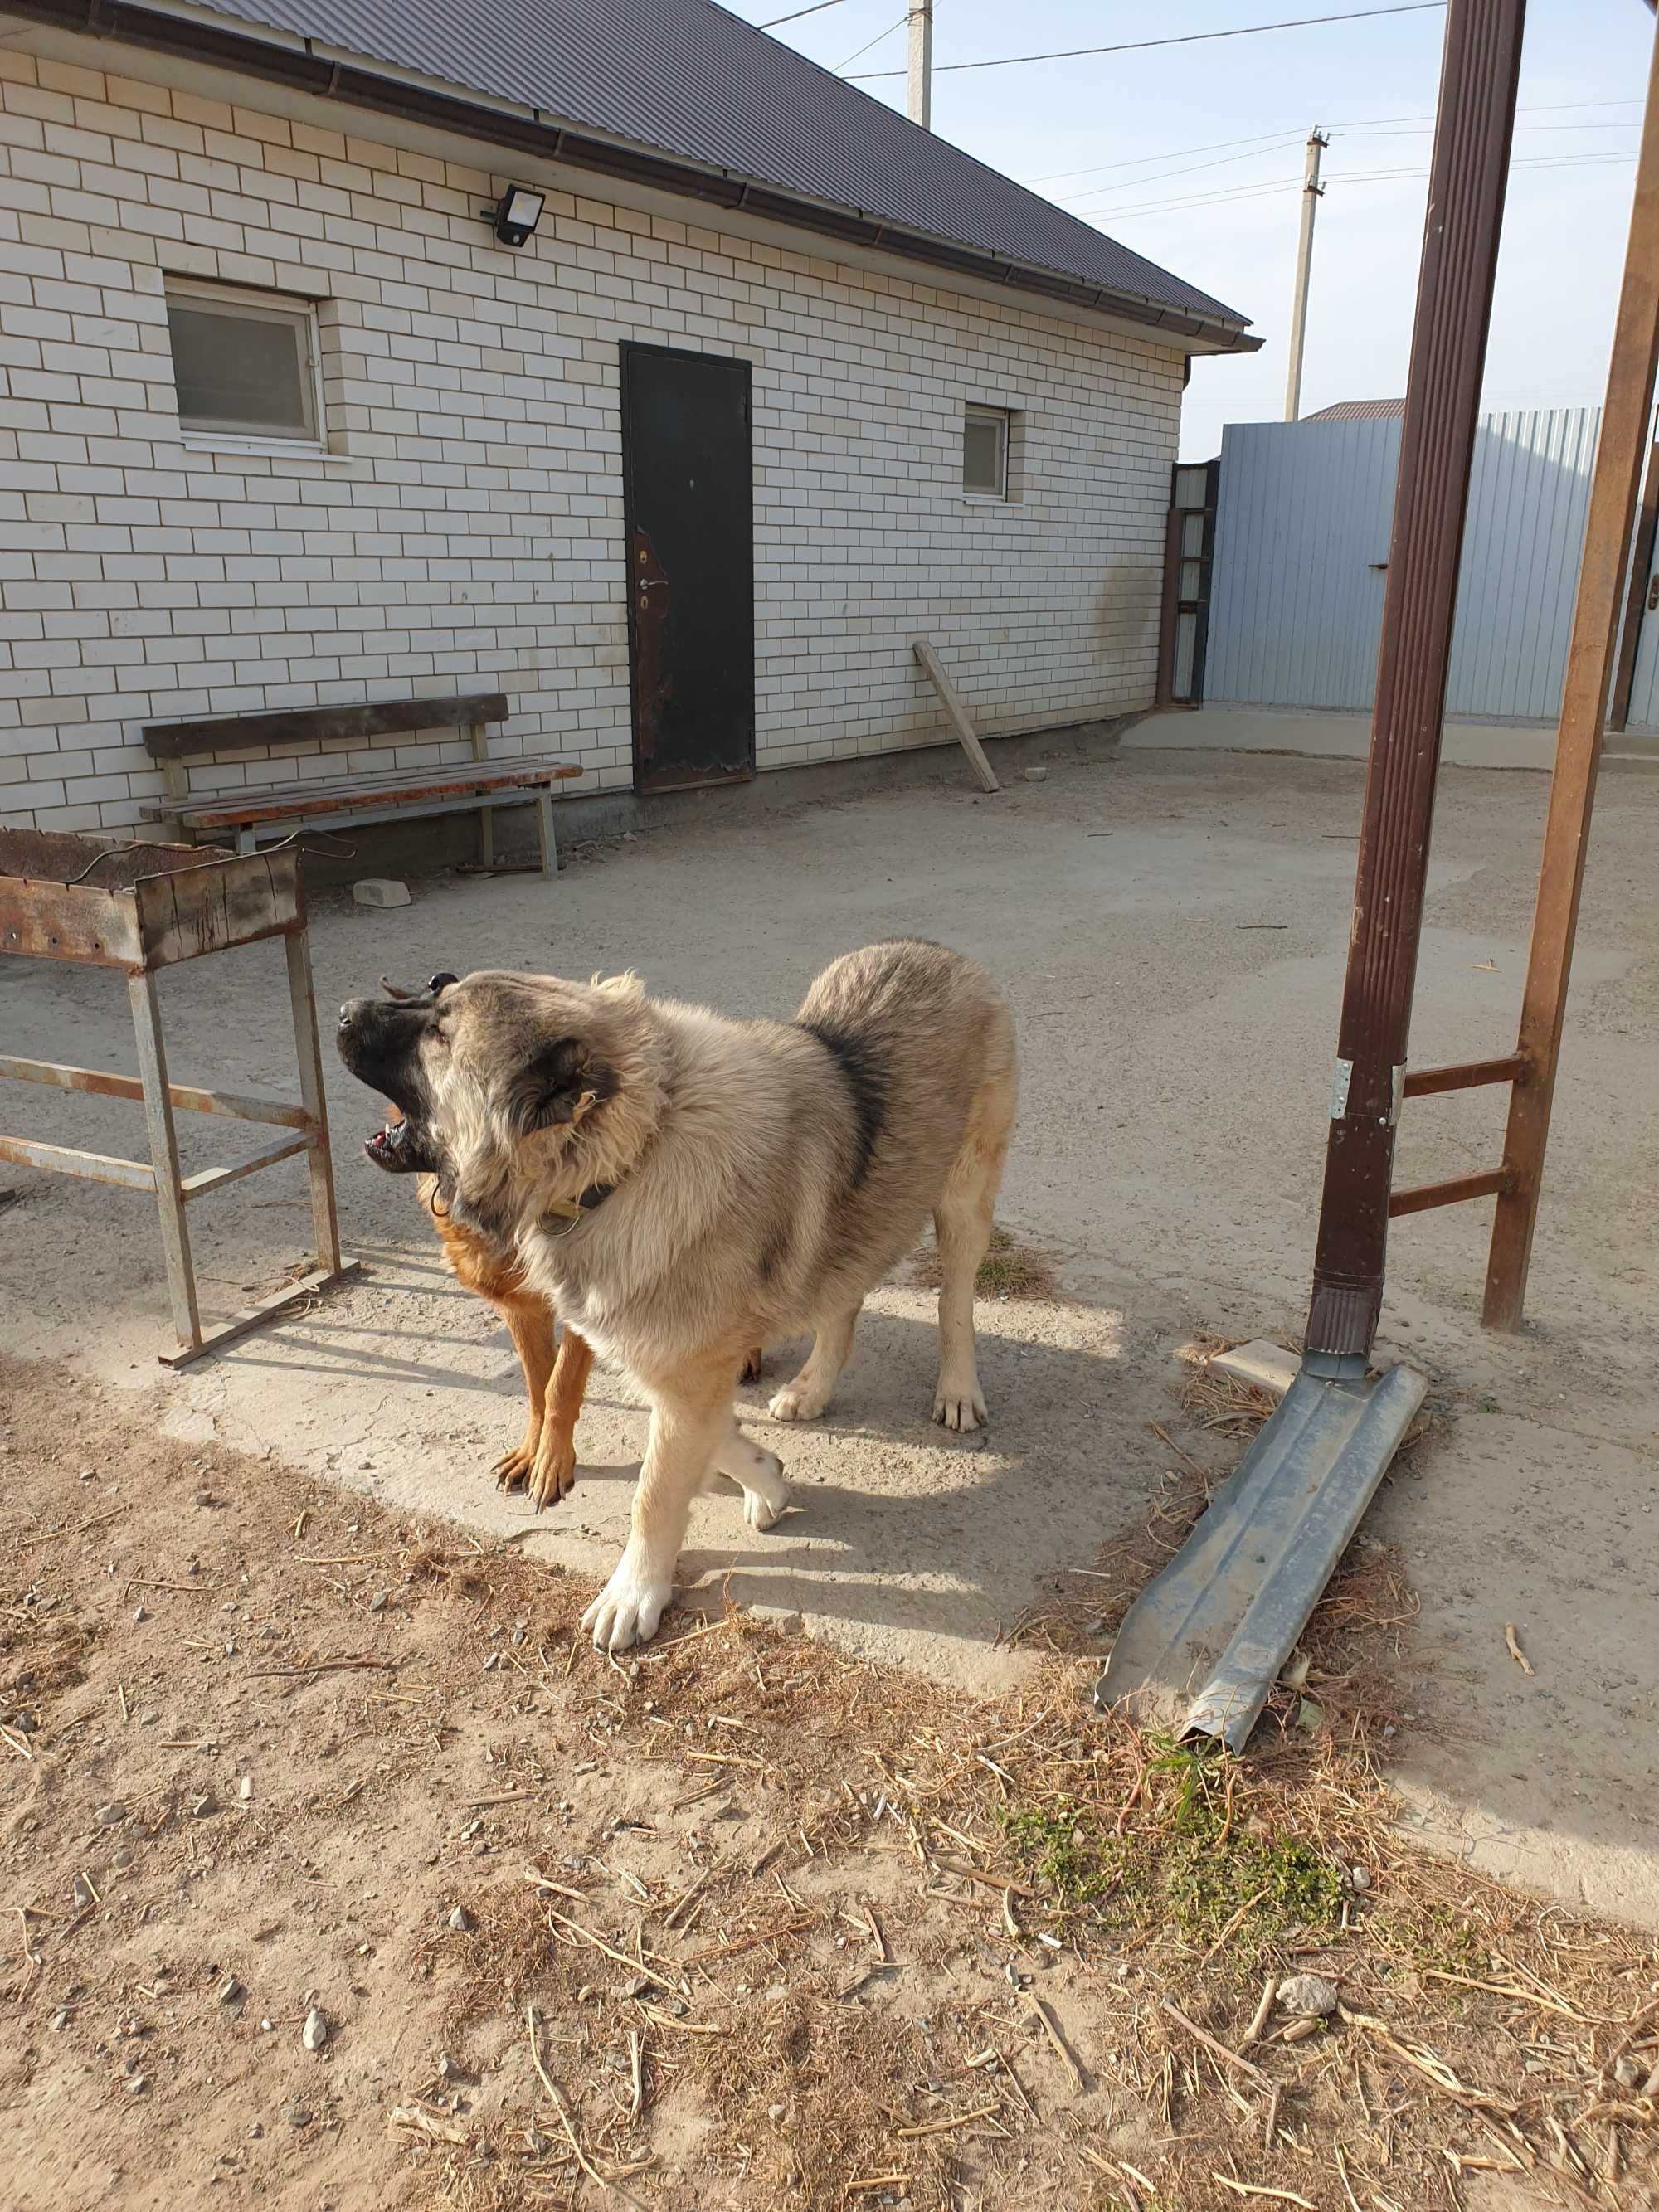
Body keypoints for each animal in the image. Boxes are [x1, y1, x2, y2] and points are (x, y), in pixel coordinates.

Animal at [333, 942, 1013, 1654]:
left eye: (440, 1033)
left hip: (963, 1202)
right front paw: (767, 1479)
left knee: (955, 1305)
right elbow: (717, 1437)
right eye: (434, 987)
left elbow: (654, 1493)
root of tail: (937, 952)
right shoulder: (667, 1362)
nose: (344, 1010)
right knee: (843, 1299)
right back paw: (811, 1388)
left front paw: (634, 1592)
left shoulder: (681, 1373)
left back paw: (957, 1390)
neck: (632, 1156)